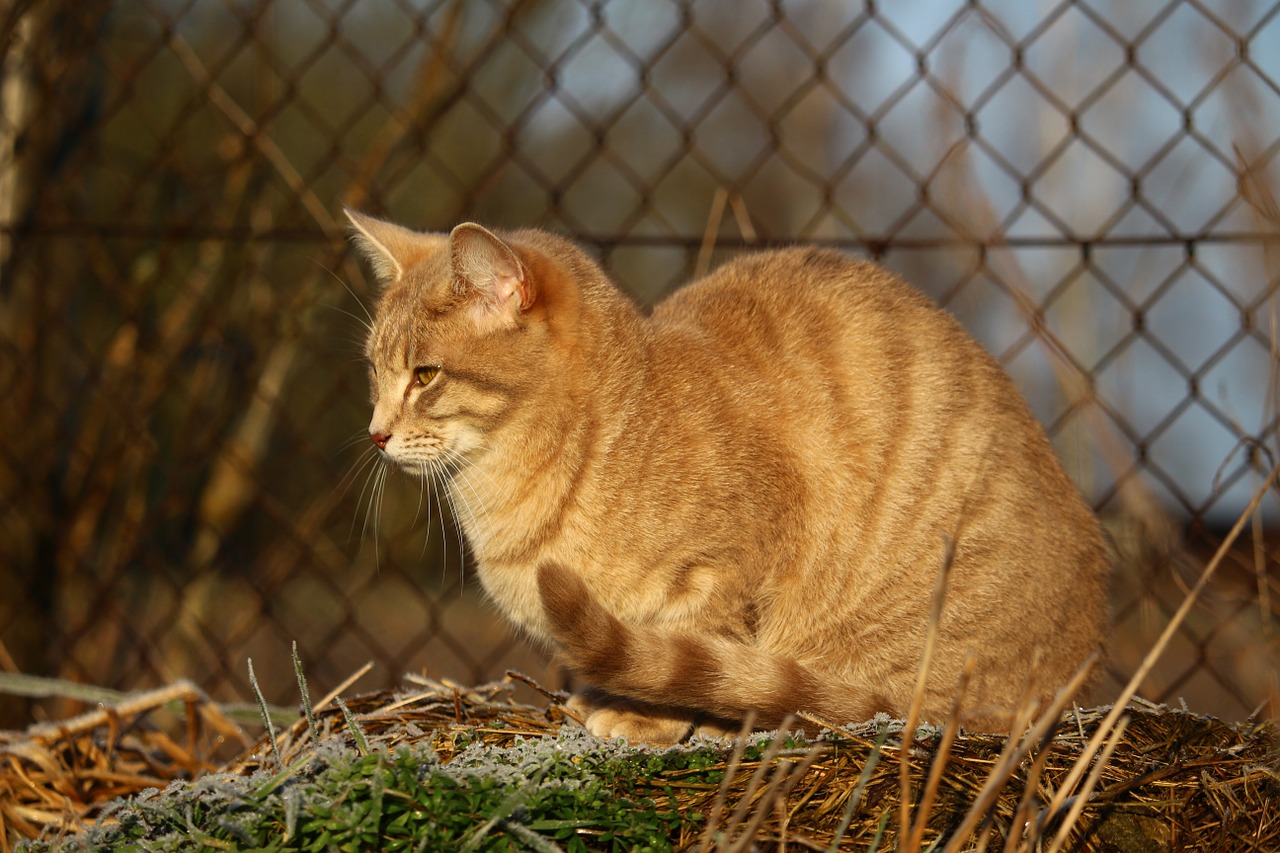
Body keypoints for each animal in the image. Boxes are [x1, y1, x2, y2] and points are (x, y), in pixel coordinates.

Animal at [348, 208, 1111, 742]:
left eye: (426, 375)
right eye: (374, 371)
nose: (375, 432)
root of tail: (1075, 687)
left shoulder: (723, 575)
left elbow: (697, 657)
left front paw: (649, 717)